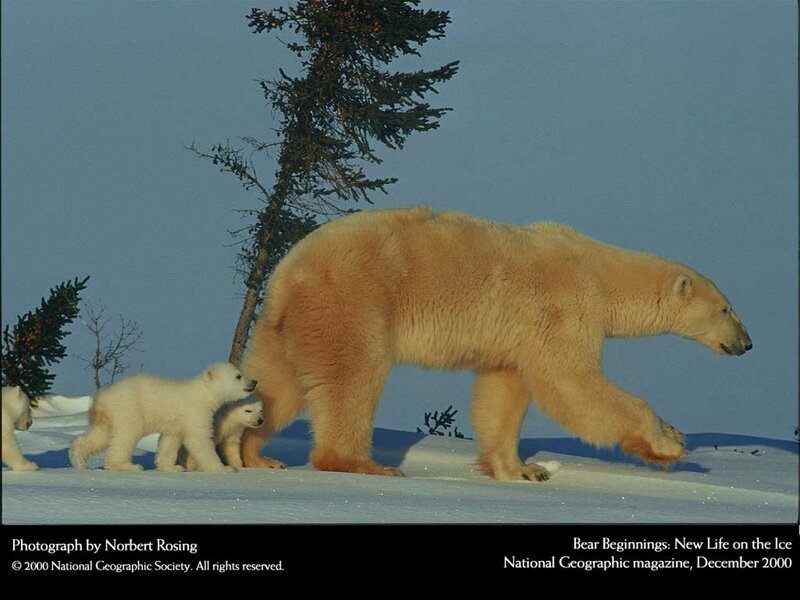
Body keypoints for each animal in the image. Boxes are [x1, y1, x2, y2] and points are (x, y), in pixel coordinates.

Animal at [68, 363, 257, 473]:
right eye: (238, 376)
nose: (254, 382)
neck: (204, 393)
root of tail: (101, 397)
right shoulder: (195, 411)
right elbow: (199, 439)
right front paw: (224, 468)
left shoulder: (175, 423)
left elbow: (170, 441)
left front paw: (172, 467)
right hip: (129, 409)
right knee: (126, 435)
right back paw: (127, 466)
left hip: (110, 415)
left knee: (100, 435)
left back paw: (79, 460)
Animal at [239, 207, 752, 481]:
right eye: (726, 308)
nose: (747, 343)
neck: (599, 271)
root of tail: (290, 271)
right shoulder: (564, 306)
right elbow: (572, 382)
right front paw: (671, 442)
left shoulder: (517, 334)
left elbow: (503, 394)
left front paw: (522, 470)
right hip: (353, 300)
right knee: (354, 376)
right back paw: (365, 464)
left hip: (288, 322)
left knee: (275, 382)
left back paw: (255, 453)